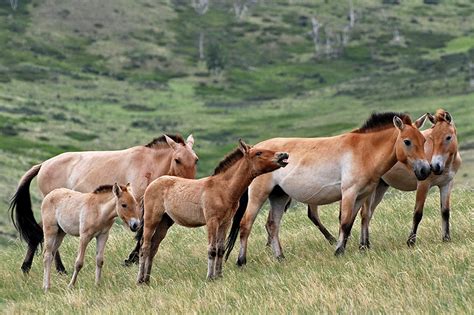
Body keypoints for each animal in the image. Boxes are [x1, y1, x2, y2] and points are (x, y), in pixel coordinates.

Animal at [9, 133, 198, 274]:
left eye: (196, 159)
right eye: (177, 160)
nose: (189, 184)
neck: (148, 164)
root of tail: (43, 164)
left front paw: (133, 259)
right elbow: (142, 231)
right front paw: (131, 260)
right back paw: (40, 267)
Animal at [134, 141, 288, 284]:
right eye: (258, 153)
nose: (283, 155)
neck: (223, 189)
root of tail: (150, 186)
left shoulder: (225, 222)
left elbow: (220, 249)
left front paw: (219, 276)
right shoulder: (212, 221)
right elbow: (212, 249)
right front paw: (210, 277)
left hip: (164, 222)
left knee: (153, 247)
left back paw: (147, 279)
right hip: (151, 219)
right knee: (145, 247)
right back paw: (140, 280)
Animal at [231, 112, 432, 266]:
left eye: (423, 140)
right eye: (407, 141)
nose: (425, 170)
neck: (364, 151)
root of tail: (252, 150)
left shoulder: (361, 196)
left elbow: (351, 223)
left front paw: (349, 248)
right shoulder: (349, 193)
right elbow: (344, 222)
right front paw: (338, 251)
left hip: (279, 196)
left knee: (272, 225)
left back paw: (280, 258)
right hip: (259, 196)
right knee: (246, 225)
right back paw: (241, 261)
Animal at [358, 110, 462, 251]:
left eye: (448, 137)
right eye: (432, 138)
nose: (435, 166)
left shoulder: (446, 184)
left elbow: (445, 212)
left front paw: (446, 239)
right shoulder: (423, 185)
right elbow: (417, 213)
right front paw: (411, 242)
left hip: (381, 187)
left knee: (369, 213)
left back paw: (367, 244)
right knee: (365, 213)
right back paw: (363, 246)